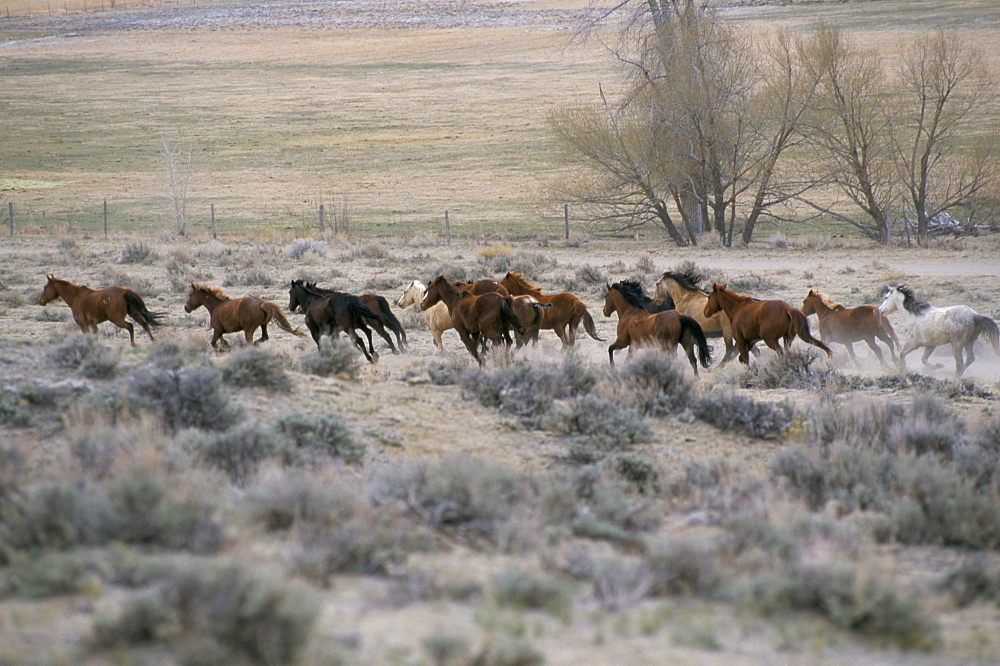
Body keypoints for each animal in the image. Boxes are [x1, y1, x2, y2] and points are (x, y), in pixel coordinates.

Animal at [704, 282, 836, 364]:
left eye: (709, 297)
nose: (705, 312)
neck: (738, 308)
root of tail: (787, 308)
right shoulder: (750, 342)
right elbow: (743, 358)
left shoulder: (741, 341)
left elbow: (745, 359)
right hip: (787, 338)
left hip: (771, 341)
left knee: (781, 354)